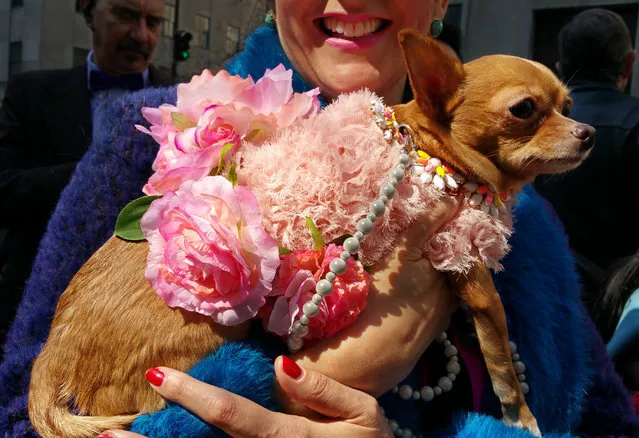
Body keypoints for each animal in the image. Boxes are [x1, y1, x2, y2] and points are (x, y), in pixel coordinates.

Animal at [27, 29, 592, 436]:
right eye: (524, 110)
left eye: (568, 105)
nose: (588, 131)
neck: (434, 152)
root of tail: (56, 345)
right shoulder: (469, 269)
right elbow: (501, 355)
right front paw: (522, 415)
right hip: (204, 337)